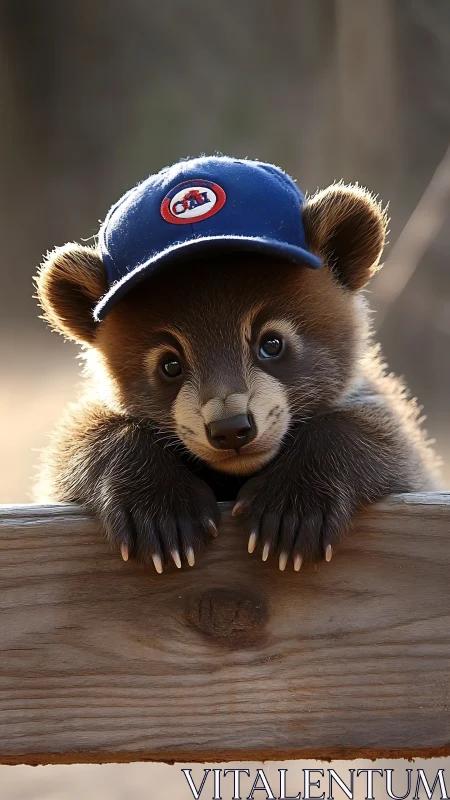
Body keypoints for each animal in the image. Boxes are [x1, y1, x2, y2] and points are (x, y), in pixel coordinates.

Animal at [34, 156, 440, 573]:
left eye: (272, 343)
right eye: (169, 365)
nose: (230, 428)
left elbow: (383, 437)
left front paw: (291, 510)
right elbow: (76, 443)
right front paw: (163, 513)